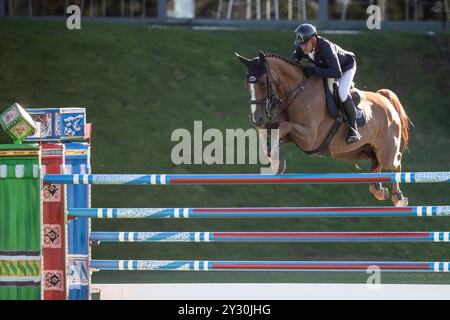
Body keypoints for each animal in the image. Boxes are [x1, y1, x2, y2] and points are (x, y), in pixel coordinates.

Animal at [236, 52, 412, 208]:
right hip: (357, 152)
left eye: (262, 83)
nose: (257, 118)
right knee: (376, 165)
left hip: (386, 152)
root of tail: (385, 100)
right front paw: (275, 159)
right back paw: (379, 190)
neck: (298, 92)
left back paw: (398, 198)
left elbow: (285, 126)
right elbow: (271, 130)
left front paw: (275, 159)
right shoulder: (289, 132)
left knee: (396, 162)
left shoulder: (310, 138)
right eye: (246, 84)